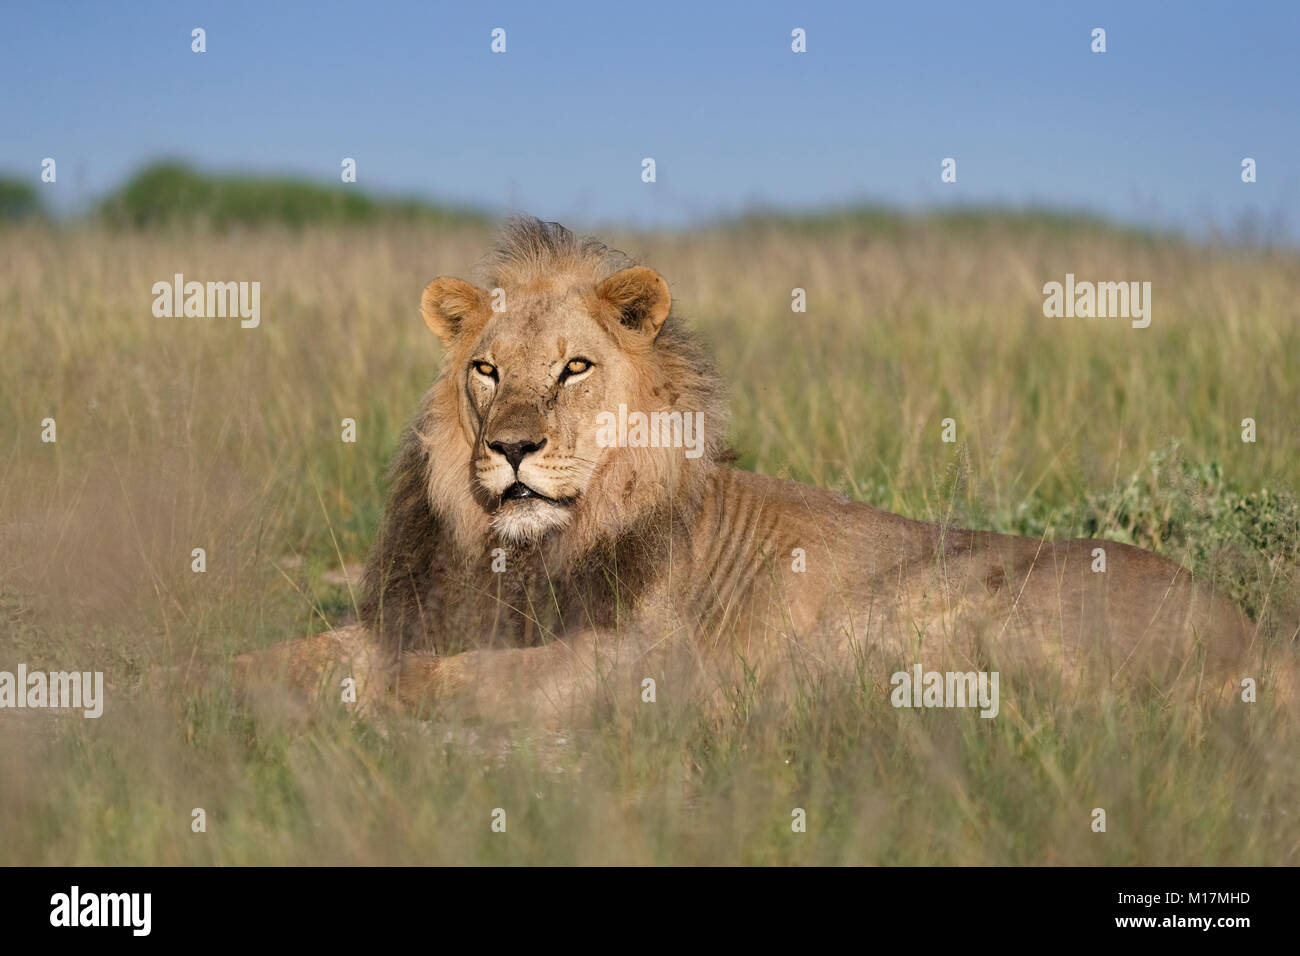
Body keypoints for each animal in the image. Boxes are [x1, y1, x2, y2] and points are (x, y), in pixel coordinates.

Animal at [236, 217, 1268, 723]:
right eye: (486, 371)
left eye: (575, 368)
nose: (514, 449)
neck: (517, 552)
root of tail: (1252, 635)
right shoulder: (412, 615)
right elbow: (268, 661)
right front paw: (207, 688)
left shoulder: (643, 660)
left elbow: (436, 681)